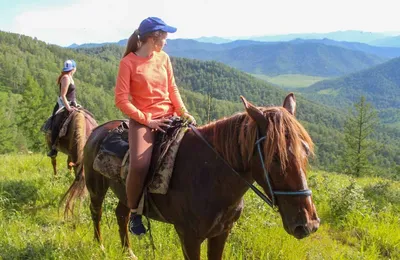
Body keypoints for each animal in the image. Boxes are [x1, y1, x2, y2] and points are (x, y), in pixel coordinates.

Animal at [66, 93, 322, 258]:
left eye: (305, 151)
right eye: (275, 157)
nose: (307, 224)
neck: (211, 177)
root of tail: (98, 129)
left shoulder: (221, 234)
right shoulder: (189, 237)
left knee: (122, 214)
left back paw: (127, 251)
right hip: (96, 188)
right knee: (97, 213)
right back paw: (100, 247)